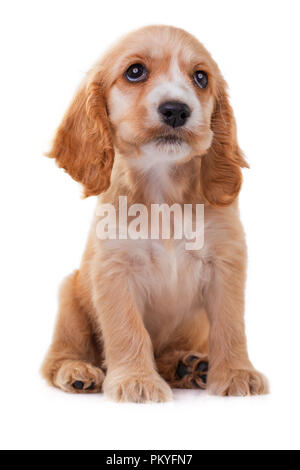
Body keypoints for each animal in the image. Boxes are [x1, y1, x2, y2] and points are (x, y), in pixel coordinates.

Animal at [41, 24, 268, 400]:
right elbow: (126, 328)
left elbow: (230, 323)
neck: (163, 193)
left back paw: (188, 366)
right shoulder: (114, 269)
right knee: (56, 357)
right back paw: (77, 370)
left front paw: (237, 373)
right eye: (135, 71)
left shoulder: (226, 261)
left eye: (201, 78)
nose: (176, 110)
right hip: (68, 294)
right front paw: (137, 380)